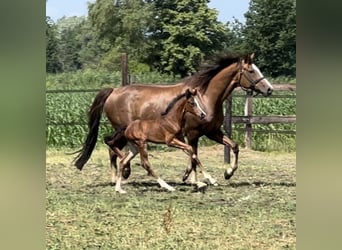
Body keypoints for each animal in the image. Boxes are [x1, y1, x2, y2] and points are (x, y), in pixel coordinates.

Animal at [74, 53, 272, 184]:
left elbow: (234, 146)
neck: (205, 97)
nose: (269, 89)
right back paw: (123, 173)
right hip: (123, 130)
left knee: (113, 148)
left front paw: (227, 173)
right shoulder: (193, 133)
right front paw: (193, 179)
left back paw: (119, 175)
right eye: (251, 71)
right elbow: (194, 155)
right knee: (112, 147)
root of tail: (114, 91)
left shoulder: (213, 132)